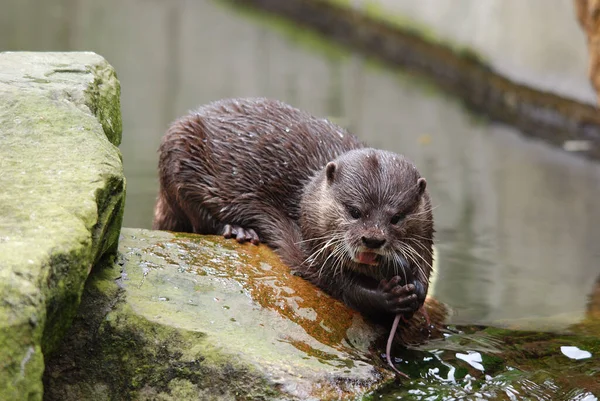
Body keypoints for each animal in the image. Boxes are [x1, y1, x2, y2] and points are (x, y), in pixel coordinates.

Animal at [154, 97, 436, 376]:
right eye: (354, 211)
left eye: (396, 217)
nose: (373, 240)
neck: (306, 199)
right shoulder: (308, 244)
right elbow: (337, 283)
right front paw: (387, 296)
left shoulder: (426, 236)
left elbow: (425, 266)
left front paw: (417, 290)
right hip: (178, 155)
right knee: (196, 213)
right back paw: (238, 230)